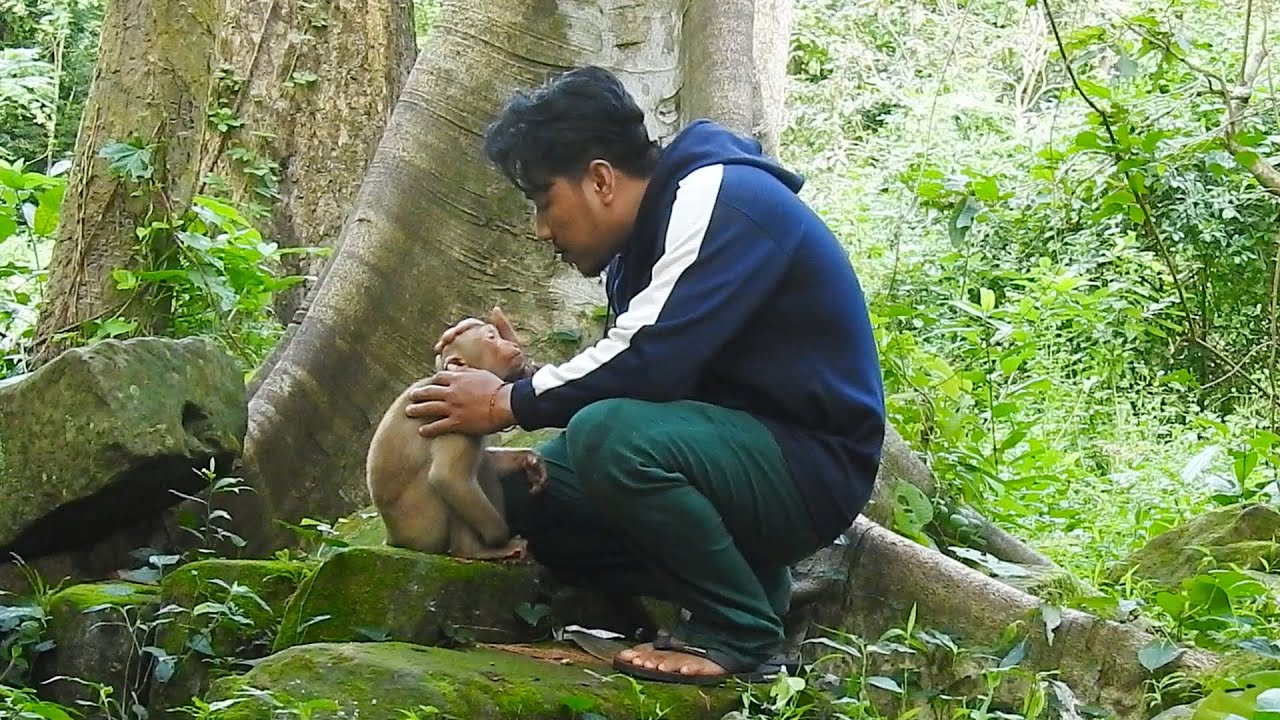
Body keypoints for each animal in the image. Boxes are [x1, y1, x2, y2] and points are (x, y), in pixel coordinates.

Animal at [371, 320, 550, 561]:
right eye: (492, 338)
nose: (512, 344)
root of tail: (394, 540)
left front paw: (527, 460)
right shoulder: (453, 414)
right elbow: (448, 478)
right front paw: (499, 537)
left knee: (481, 463)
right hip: (423, 528)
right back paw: (474, 550)